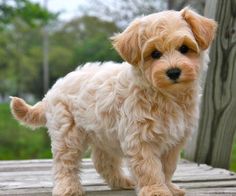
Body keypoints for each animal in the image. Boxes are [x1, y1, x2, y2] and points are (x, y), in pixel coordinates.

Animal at [10, 7, 217, 196]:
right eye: (155, 54)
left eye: (184, 49)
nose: (173, 72)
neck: (166, 96)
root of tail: (53, 89)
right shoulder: (140, 139)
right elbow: (150, 168)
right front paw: (156, 190)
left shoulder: (174, 140)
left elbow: (167, 167)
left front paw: (169, 187)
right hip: (67, 133)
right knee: (65, 163)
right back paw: (68, 188)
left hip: (102, 134)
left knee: (102, 161)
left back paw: (122, 181)